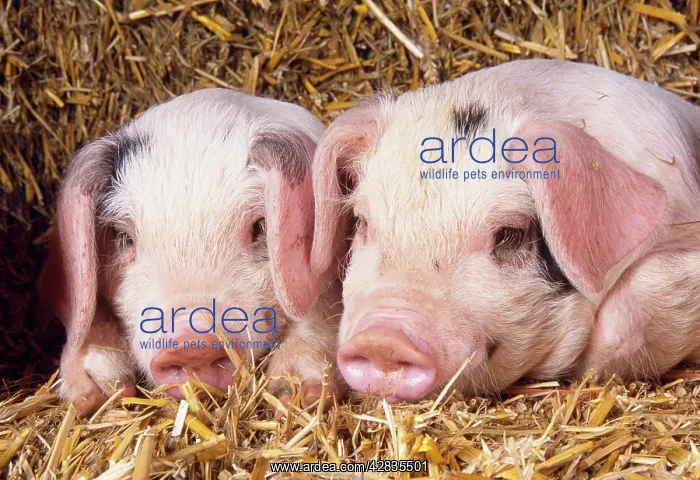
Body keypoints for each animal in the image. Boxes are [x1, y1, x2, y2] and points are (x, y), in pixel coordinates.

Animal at [38, 88, 344, 416]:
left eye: (260, 225)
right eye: (123, 236)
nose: (190, 343)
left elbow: (316, 304)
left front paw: (298, 395)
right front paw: (89, 398)